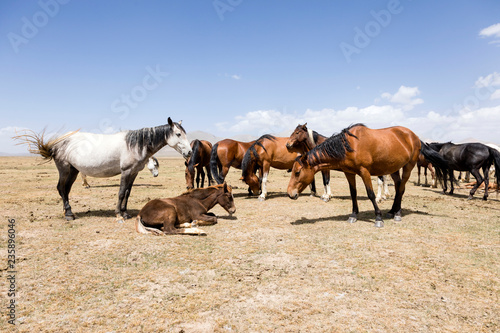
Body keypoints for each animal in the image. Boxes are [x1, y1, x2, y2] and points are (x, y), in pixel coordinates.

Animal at [14, 116, 191, 220]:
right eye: (178, 134)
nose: (189, 152)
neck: (136, 144)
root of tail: (57, 142)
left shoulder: (133, 172)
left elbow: (128, 193)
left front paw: (125, 213)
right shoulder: (126, 171)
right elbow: (121, 192)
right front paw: (119, 214)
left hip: (73, 170)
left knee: (66, 189)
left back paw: (67, 211)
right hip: (64, 169)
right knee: (62, 188)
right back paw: (69, 214)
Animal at [288, 123, 448, 227]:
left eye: (297, 172)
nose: (290, 194)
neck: (348, 146)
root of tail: (414, 136)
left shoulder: (364, 172)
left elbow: (370, 194)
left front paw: (378, 218)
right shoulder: (349, 173)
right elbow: (353, 193)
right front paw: (353, 215)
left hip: (408, 166)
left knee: (401, 188)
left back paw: (397, 213)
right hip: (394, 168)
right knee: (398, 187)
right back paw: (392, 210)